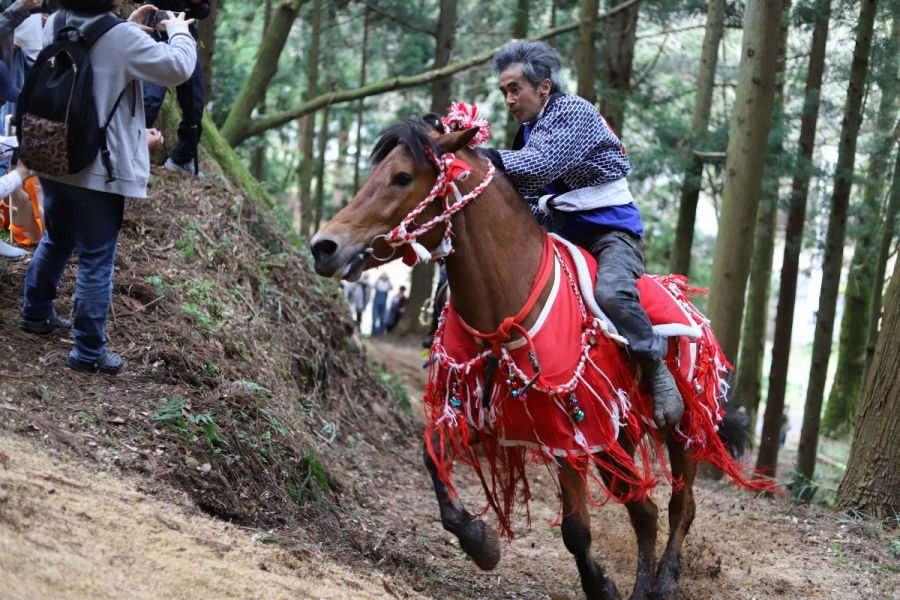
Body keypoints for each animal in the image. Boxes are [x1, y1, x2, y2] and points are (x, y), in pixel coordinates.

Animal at [310, 117, 757, 600]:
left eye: (402, 177)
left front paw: (600, 586)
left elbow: (576, 530)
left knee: (680, 505)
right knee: (644, 509)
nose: (324, 246)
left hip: (684, 427)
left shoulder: (567, 429)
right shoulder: (477, 413)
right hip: (616, 436)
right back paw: (642, 585)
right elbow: (433, 458)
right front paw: (480, 542)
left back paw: (665, 579)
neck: (504, 305)